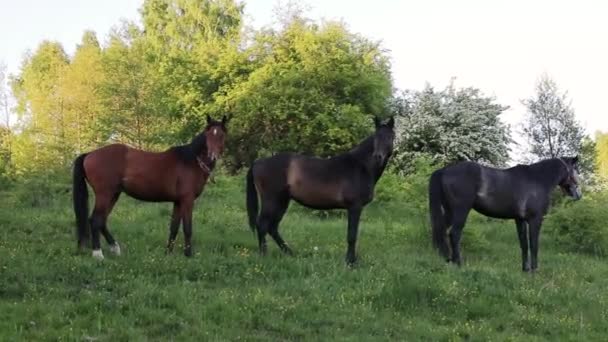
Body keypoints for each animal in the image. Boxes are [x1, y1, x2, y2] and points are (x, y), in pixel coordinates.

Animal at [72, 115, 228, 260]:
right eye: (208, 134)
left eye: (221, 135)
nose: (213, 156)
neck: (190, 161)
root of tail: (89, 154)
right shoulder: (187, 200)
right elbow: (187, 228)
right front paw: (188, 255)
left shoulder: (178, 202)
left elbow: (174, 228)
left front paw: (168, 253)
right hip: (105, 194)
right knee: (96, 220)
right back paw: (98, 254)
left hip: (114, 195)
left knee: (102, 220)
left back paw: (115, 248)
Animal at [430, 156, 580, 272]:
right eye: (575, 170)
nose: (578, 194)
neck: (537, 180)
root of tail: (444, 170)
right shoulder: (535, 220)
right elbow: (534, 244)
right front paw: (535, 270)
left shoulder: (520, 220)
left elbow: (524, 244)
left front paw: (525, 269)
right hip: (460, 211)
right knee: (454, 233)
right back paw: (458, 263)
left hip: (449, 212)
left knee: (442, 232)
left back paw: (448, 259)